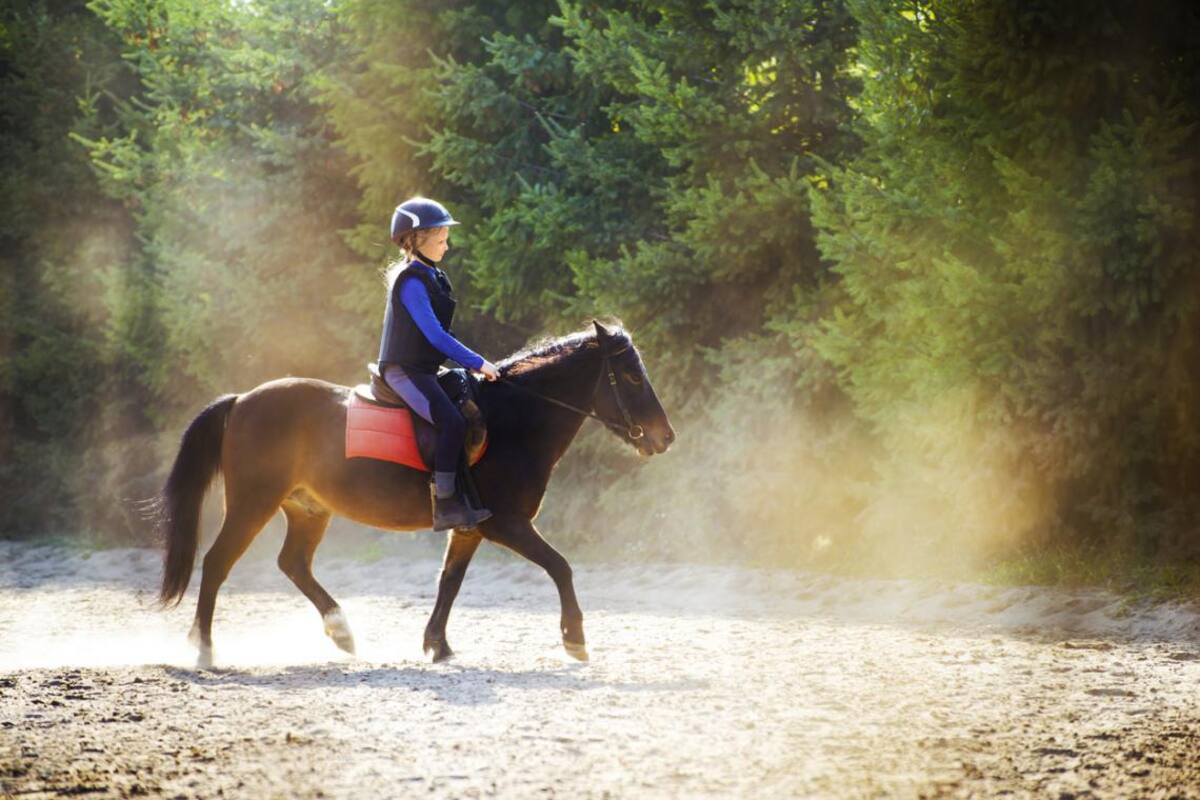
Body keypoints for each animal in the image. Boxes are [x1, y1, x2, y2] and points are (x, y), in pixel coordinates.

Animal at [152, 320, 674, 667]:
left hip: (308, 509)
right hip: (251, 504)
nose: (664, 436)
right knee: (217, 563)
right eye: (631, 376)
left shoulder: (471, 527)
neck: (513, 420)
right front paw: (575, 638)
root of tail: (241, 400)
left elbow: (450, 582)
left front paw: (436, 645)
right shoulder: (505, 524)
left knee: (293, 563)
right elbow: (561, 566)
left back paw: (342, 632)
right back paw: (204, 649)